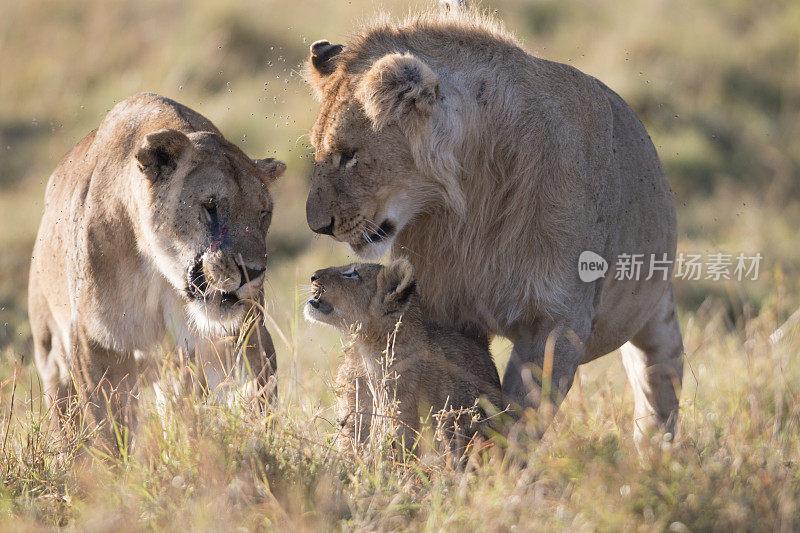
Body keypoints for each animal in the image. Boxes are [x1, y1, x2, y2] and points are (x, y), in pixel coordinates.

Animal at [28, 92, 284, 448]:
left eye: (263, 213)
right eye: (210, 205)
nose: (253, 272)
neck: (160, 272)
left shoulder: (241, 333)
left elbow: (257, 398)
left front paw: (259, 445)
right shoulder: (96, 344)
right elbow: (108, 431)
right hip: (52, 359)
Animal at [304, 10, 684, 446]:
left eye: (349, 155)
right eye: (317, 150)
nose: (318, 226)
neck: (471, 203)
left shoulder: (557, 324)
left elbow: (521, 419)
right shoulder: (443, 312)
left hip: (656, 313)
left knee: (659, 389)